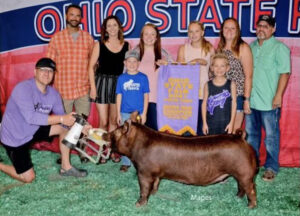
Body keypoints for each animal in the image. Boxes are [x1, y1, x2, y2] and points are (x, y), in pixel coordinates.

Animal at [103, 112, 258, 208]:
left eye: (115, 132)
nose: (105, 134)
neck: (138, 144)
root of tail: (241, 138)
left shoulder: (144, 172)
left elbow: (144, 188)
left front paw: (138, 204)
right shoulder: (156, 173)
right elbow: (156, 183)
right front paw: (154, 193)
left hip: (245, 173)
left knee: (251, 189)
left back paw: (250, 206)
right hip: (239, 173)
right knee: (241, 186)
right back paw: (237, 197)